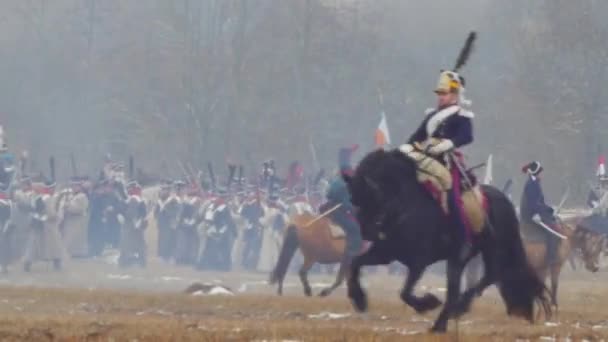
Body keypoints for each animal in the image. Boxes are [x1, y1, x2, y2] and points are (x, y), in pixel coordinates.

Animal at [342, 149, 552, 332]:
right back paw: (445, 320)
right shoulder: (386, 254)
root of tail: (504, 200)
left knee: (490, 275)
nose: (367, 232)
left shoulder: (418, 262)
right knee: (476, 281)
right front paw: (359, 298)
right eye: (353, 200)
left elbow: (405, 292)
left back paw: (454, 312)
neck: (404, 206)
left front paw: (427, 303)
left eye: (372, 195)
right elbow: (355, 263)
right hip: (466, 257)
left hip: (488, 250)